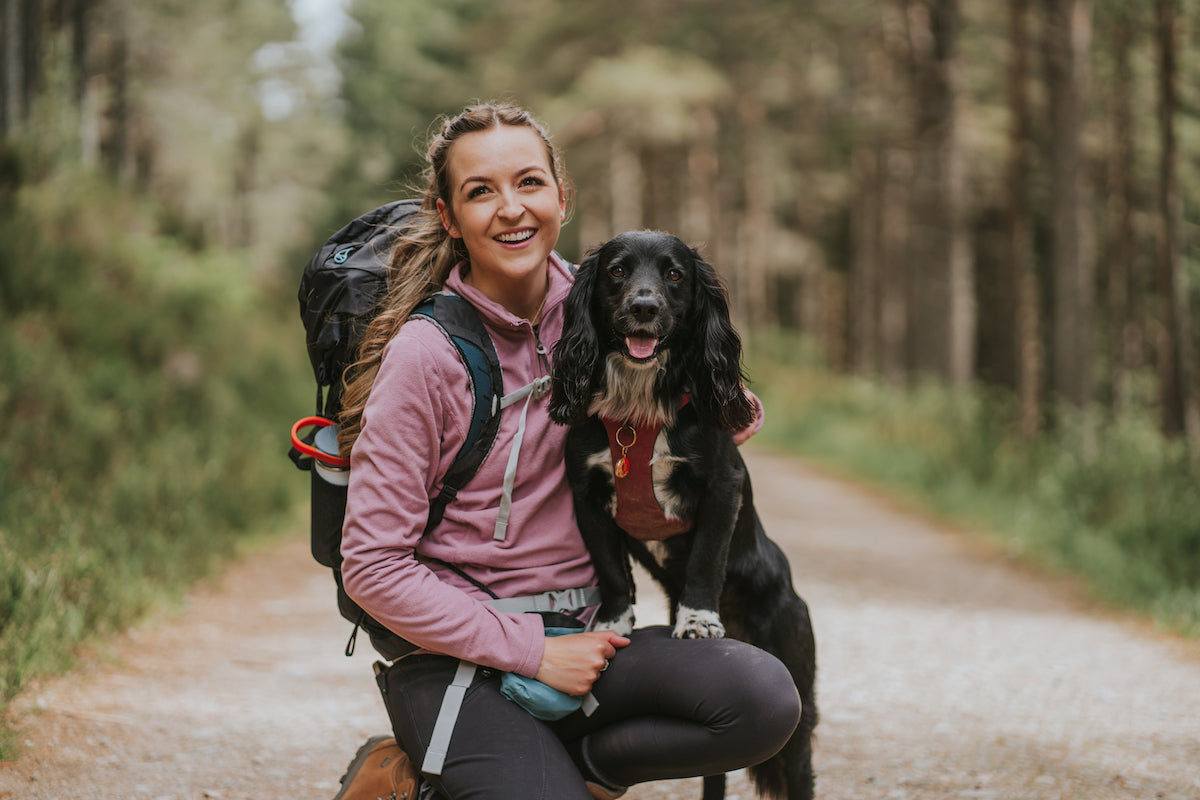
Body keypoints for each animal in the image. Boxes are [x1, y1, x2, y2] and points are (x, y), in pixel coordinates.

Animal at [549, 227, 816, 800]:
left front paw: (697, 621)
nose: (644, 307)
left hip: (798, 698)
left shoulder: (721, 487)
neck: (638, 408)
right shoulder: (586, 494)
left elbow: (705, 560)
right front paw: (614, 624)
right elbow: (612, 572)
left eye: (674, 275)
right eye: (618, 272)